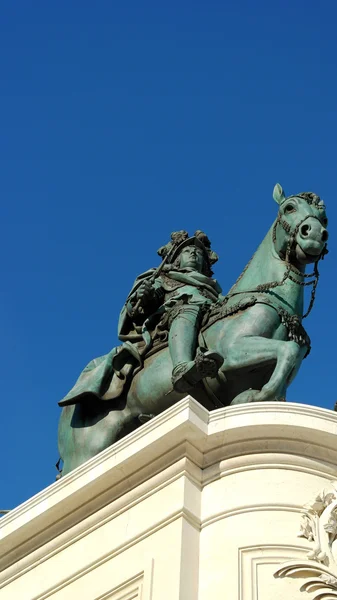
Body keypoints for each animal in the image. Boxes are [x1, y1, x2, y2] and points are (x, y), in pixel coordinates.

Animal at [57, 185, 326, 476]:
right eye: (289, 208)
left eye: (323, 215)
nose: (315, 234)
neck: (268, 300)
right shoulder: (232, 352)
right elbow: (288, 349)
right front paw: (256, 395)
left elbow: (288, 357)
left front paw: (254, 396)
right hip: (84, 453)